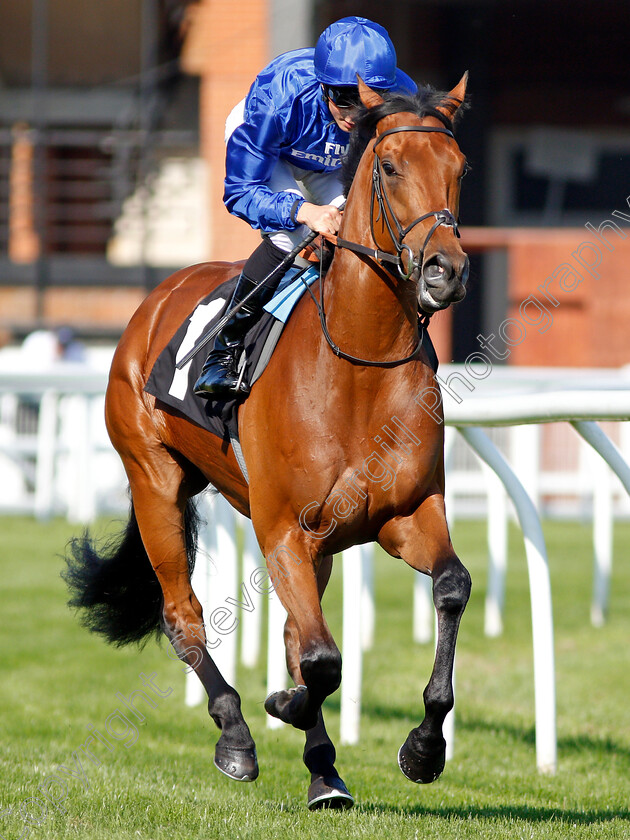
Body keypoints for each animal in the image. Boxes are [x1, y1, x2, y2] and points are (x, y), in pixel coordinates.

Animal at [64, 77, 472, 808]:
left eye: (460, 169)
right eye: (390, 167)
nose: (443, 272)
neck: (359, 363)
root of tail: (158, 295)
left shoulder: (405, 513)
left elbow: (449, 588)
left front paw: (424, 748)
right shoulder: (283, 527)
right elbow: (320, 659)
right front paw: (281, 705)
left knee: (292, 632)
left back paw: (324, 772)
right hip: (155, 481)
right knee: (184, 614)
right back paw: (236, 735)